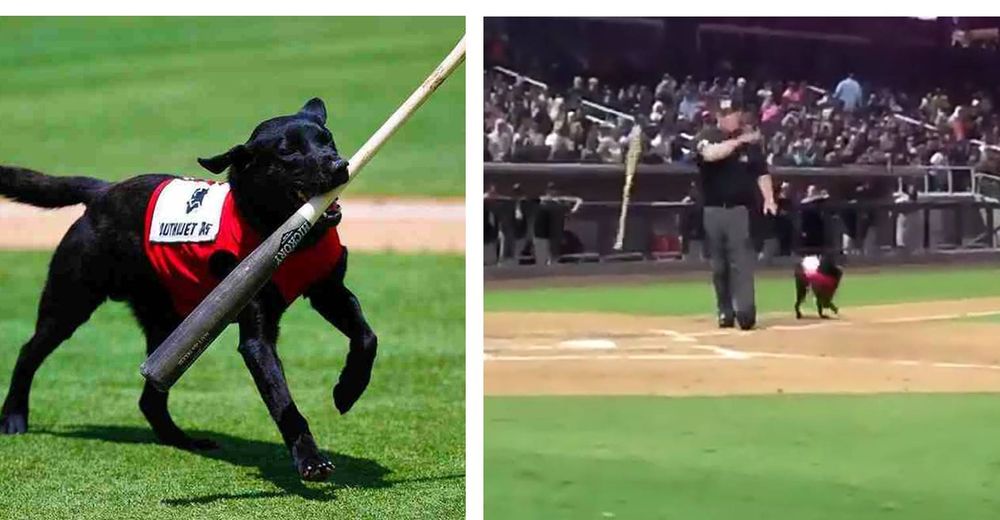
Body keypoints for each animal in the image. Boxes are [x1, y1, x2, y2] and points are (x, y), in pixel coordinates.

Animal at [0, 99, 376, 482]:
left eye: (327, 139)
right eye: (288, 151)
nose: (340, 166)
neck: (287, 234)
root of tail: (103, 191)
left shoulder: (328, 291)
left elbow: (366, 338)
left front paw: (348, 390)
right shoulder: (257, 335)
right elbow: (282, 399)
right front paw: (310, 458)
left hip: (166, 321)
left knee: (150, 400)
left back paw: (182, 440)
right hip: (70, 302)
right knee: (28, 352)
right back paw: (13, 417)